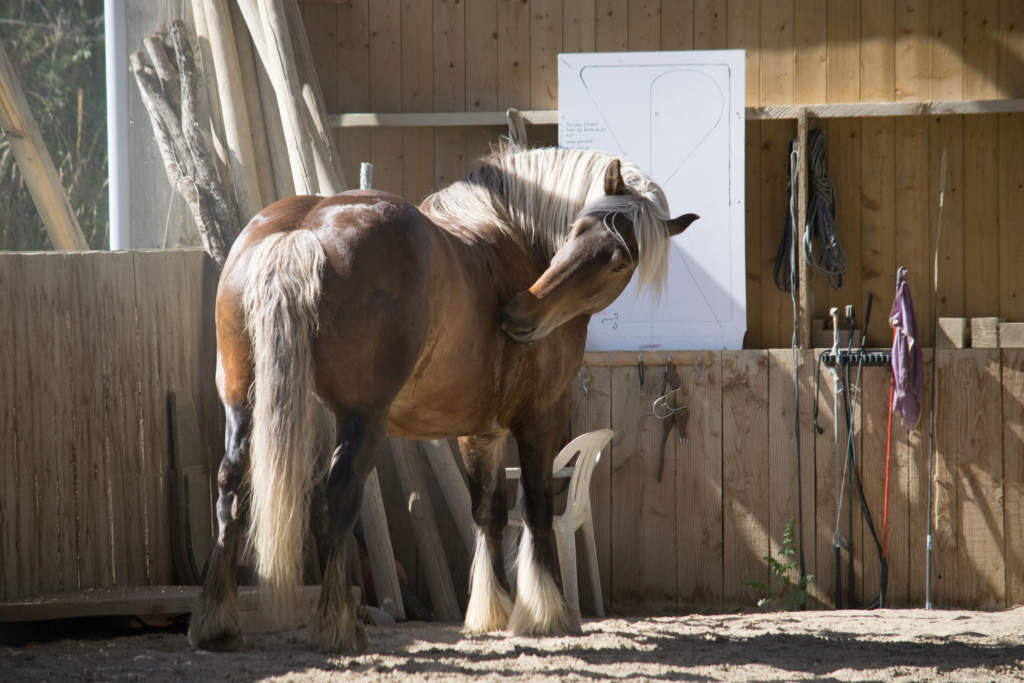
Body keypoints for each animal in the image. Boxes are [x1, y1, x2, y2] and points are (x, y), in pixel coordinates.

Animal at [188, 145, 700, 651]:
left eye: (618, 262)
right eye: (576, 231)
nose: (520, 313)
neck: (511, 236)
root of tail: (304, 227)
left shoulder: (481, 433)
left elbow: (489, 513)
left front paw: (493, 612)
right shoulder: (542, 418)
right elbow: (535, 508)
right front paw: (548, 614)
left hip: (242, 402)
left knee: (231, 486)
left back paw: (217, 621)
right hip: (362, 417)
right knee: (340, 493)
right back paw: (338, 626)